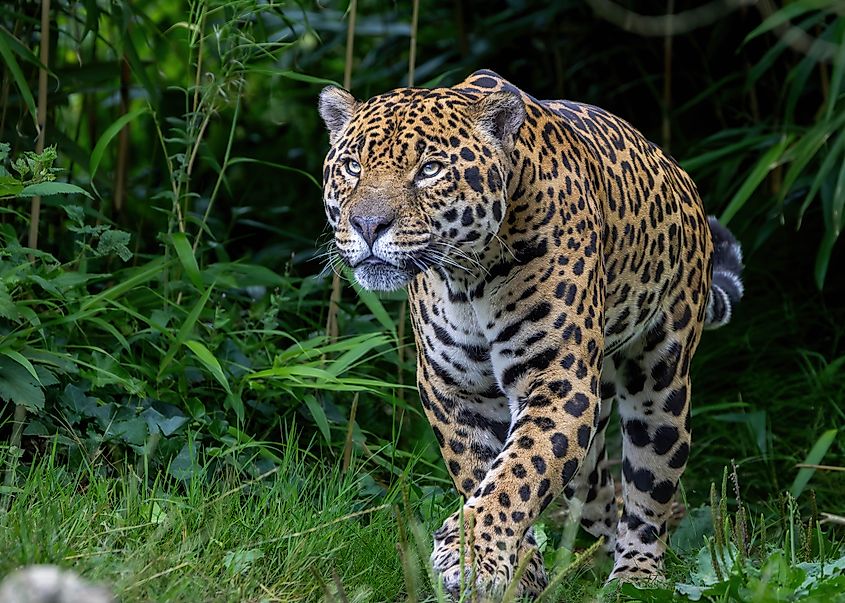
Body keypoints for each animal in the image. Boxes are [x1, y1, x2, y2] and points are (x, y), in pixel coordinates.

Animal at [318, 70, 743, 600]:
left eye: (430, 169)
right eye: (352, 166)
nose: (368, 224)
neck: (469, 280)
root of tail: (679, 176)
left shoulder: (559, 381)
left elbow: (519, 470)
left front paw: (473, 556)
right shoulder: (453, 390)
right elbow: (486, 471)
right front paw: (518, 569)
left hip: (661, 384)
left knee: (649, 489)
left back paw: (636, 577)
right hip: (594, 417)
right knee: (597, 494)